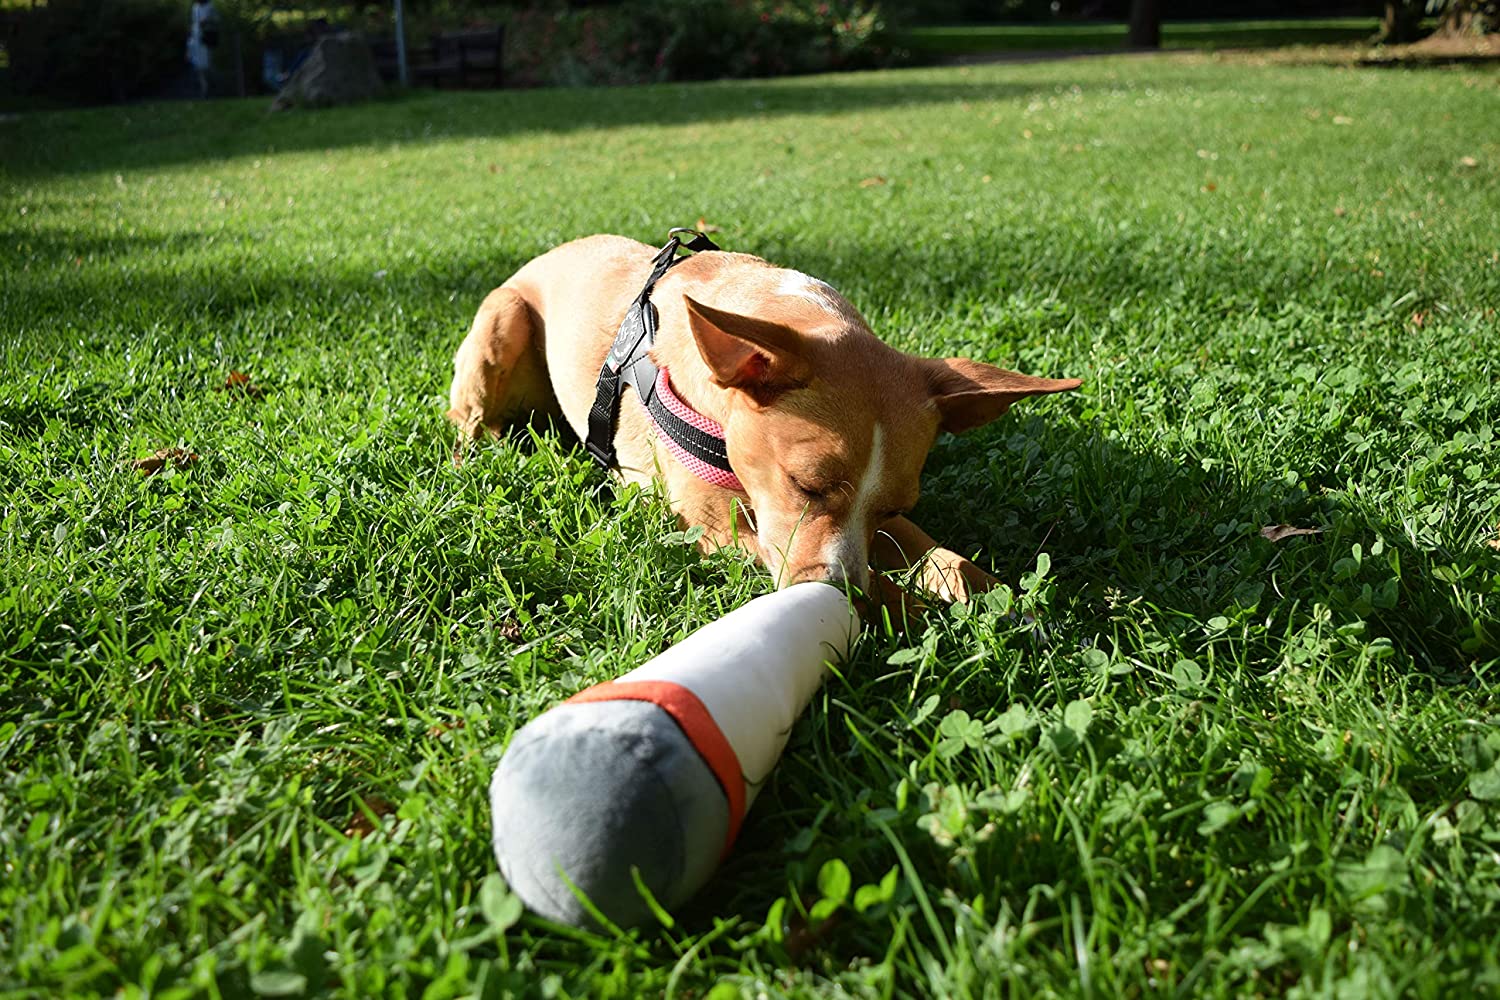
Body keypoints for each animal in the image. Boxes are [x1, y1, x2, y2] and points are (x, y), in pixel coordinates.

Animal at [444, 236, 1080, 602]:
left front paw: (984, 588)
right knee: (467, 420)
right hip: (501, 325)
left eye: (895, 506)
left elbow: (940, 556)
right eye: (805, 484)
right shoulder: (712, 527)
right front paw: (899, 607)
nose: (841, 589)